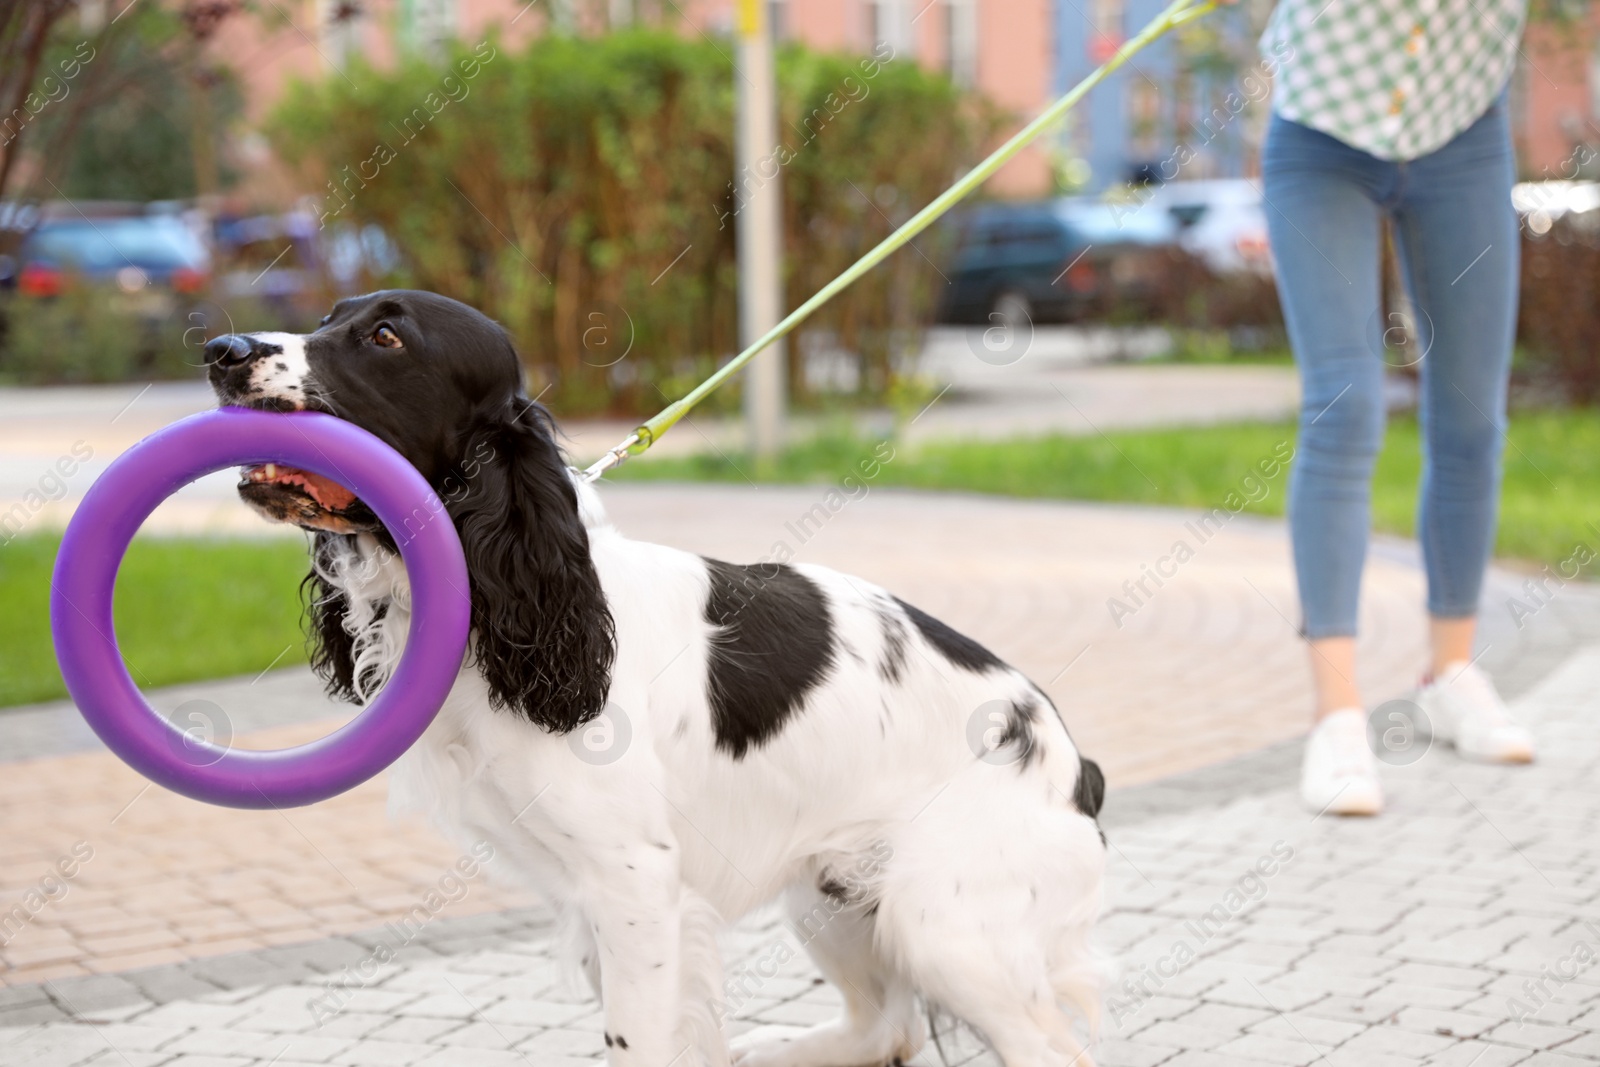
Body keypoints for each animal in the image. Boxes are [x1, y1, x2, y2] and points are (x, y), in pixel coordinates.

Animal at [206, 292, 1107, 1067]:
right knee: (887, 1025)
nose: (221, 350)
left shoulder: (633, 879)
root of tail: (1073, 762)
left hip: (939, 919)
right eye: (331, 315)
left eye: (387, 337)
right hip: (832, 889)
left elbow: (634, 1037)